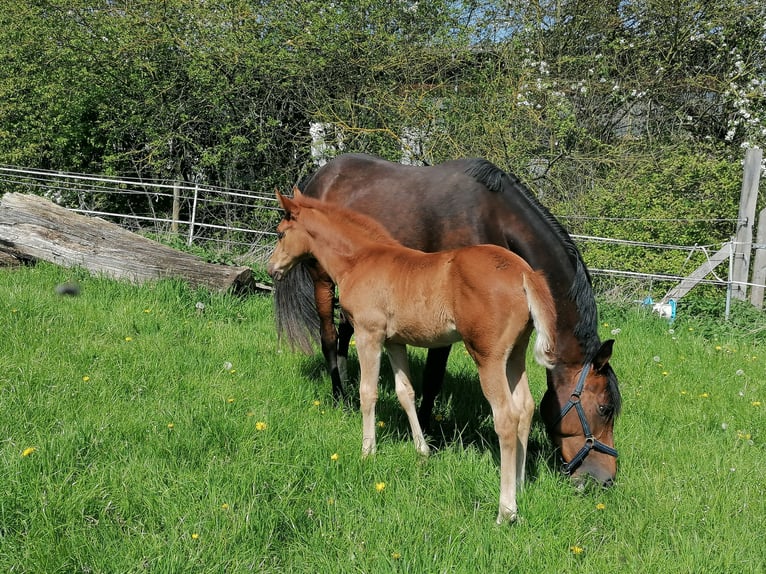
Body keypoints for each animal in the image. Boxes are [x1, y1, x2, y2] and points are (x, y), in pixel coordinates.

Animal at [268, 189, 558, 524]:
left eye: (280, 233)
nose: (272, 269)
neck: (359, 260)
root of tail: (524, 272)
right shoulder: (395, 342)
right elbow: (405, 392)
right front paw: (423, 451)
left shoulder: (369, 334)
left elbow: (368, 393)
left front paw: (367, 452)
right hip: (515, 354)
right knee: (525, 407)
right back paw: (520, 486)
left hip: (487, 356)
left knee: (507, 418)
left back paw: (506, 510)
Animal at [273, 153, 621, 486]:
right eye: (605, 408)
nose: (603, 480)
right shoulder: (416, 335)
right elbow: (422, 382)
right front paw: (422, 439)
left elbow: (405, 386)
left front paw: (407, 442)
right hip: (321, 281)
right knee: (329, 337)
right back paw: (339, 396)